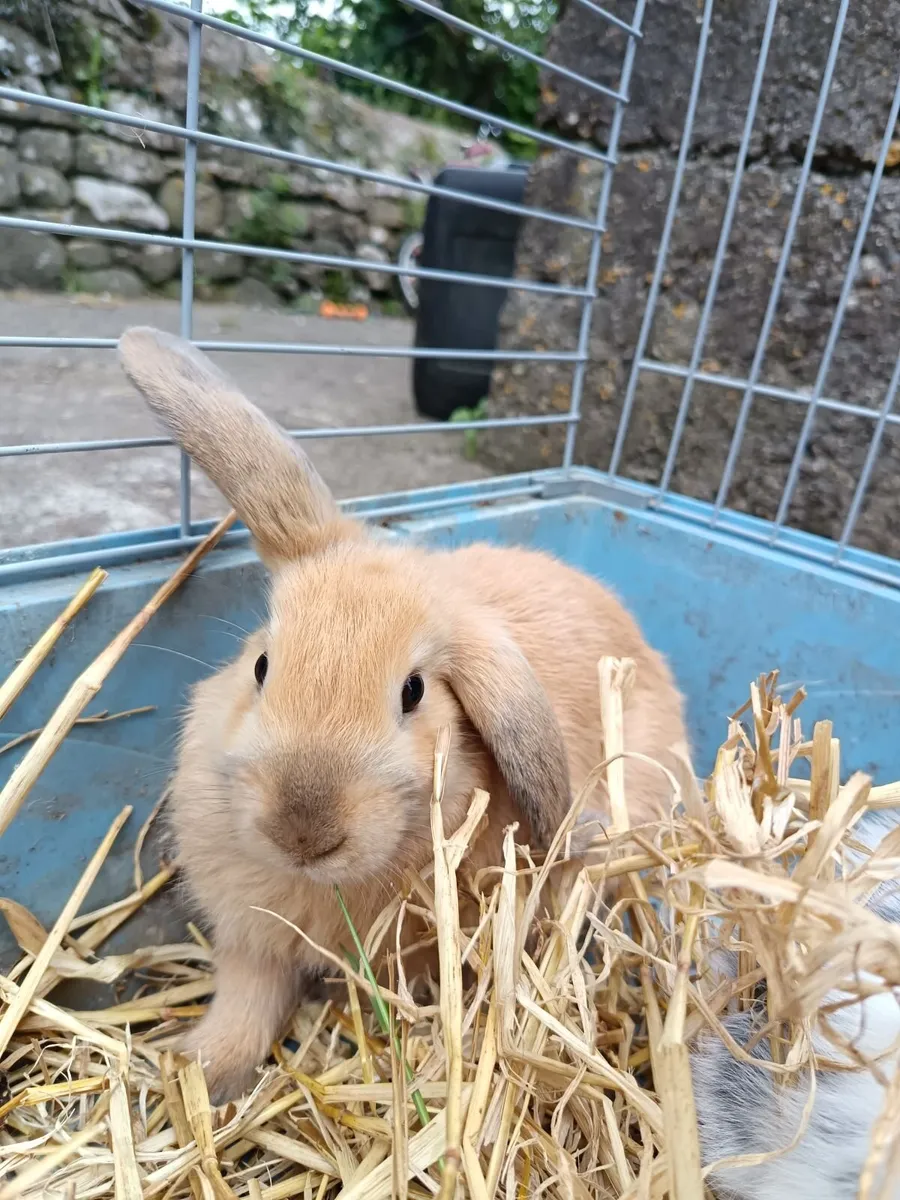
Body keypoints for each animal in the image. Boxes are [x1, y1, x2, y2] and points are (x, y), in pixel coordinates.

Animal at [117, 325, 690, 1103]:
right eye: (262, 665)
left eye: (414, 692)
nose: (304, 831)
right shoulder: (251, 944)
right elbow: (246, 1005)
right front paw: (199, 1071)